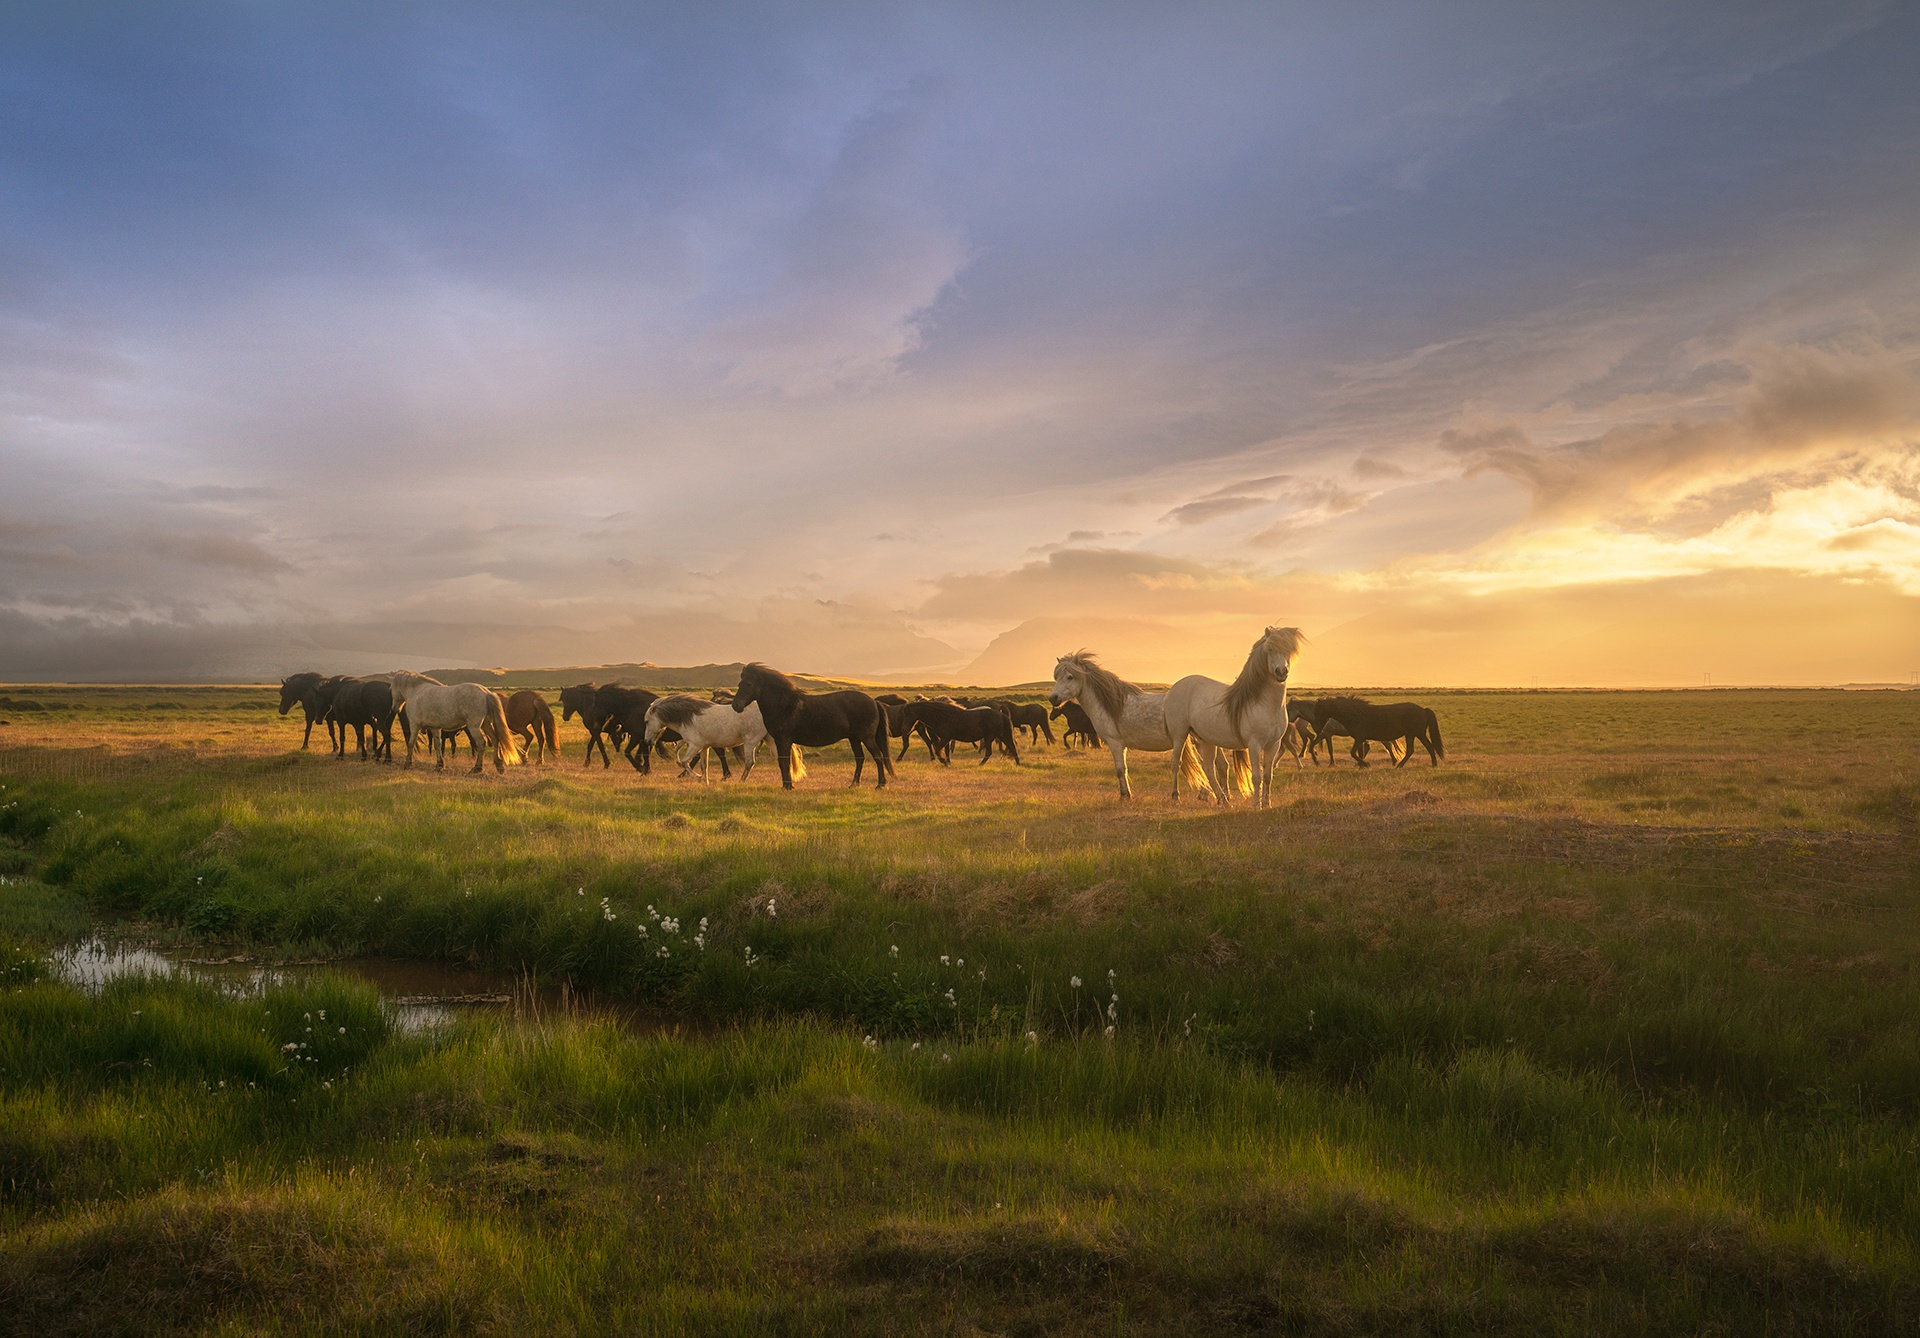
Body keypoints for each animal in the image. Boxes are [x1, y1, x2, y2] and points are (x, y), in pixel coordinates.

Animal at [385, 668, 518, 771]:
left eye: (391, 689)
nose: (394, 708)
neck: (416, 691)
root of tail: (486, 693)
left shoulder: (414, 725)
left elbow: (411, 743)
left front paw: (407, 763)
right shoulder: (435, 728)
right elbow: (437, 745)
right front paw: (439, 765)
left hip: (474, 727)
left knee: (481, 743)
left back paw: (477, 768)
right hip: (485, 724)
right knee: (495, 739)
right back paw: (498, 765)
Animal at [725, 664, 890, 787]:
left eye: (748, 684)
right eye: (739, 684)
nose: (736, 705)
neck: (785, 705)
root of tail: (874, 701)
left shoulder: (784, 740)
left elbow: (785, 762)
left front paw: (788, 786)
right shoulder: (779, 740)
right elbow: (783, 762)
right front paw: (786, 785)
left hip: (866, 737)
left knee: (878, 756)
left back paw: (880, 784)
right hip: (854, 738)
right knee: (860, 758)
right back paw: (854, 784)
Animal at [1052, 648, 1213, 798]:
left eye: (1070, 677)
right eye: (1056, 677)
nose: (1052, 698)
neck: (1111, 705)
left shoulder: (1115, 743)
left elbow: (1120, 770)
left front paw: (1124, 796)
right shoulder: (1121, 745)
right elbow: (1124, 769)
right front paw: (1126, 794)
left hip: (1181, 739)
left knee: (1182, 764)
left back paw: (1178, 796)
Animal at [1152, 621, 1305, 802]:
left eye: (1290, 650)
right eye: (1269, 649)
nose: (1281, 672)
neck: (1265, 705)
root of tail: (1173, 688)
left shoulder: (1273, 745)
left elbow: (1268, 776)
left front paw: (1267, 804)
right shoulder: (1254, 744)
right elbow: (1256, 777)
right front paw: (1256, 805)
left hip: (1205, 739)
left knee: (1209, 768)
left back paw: (1224, 801)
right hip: (1179, 735)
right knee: (1176, 763)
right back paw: (1176, 796)